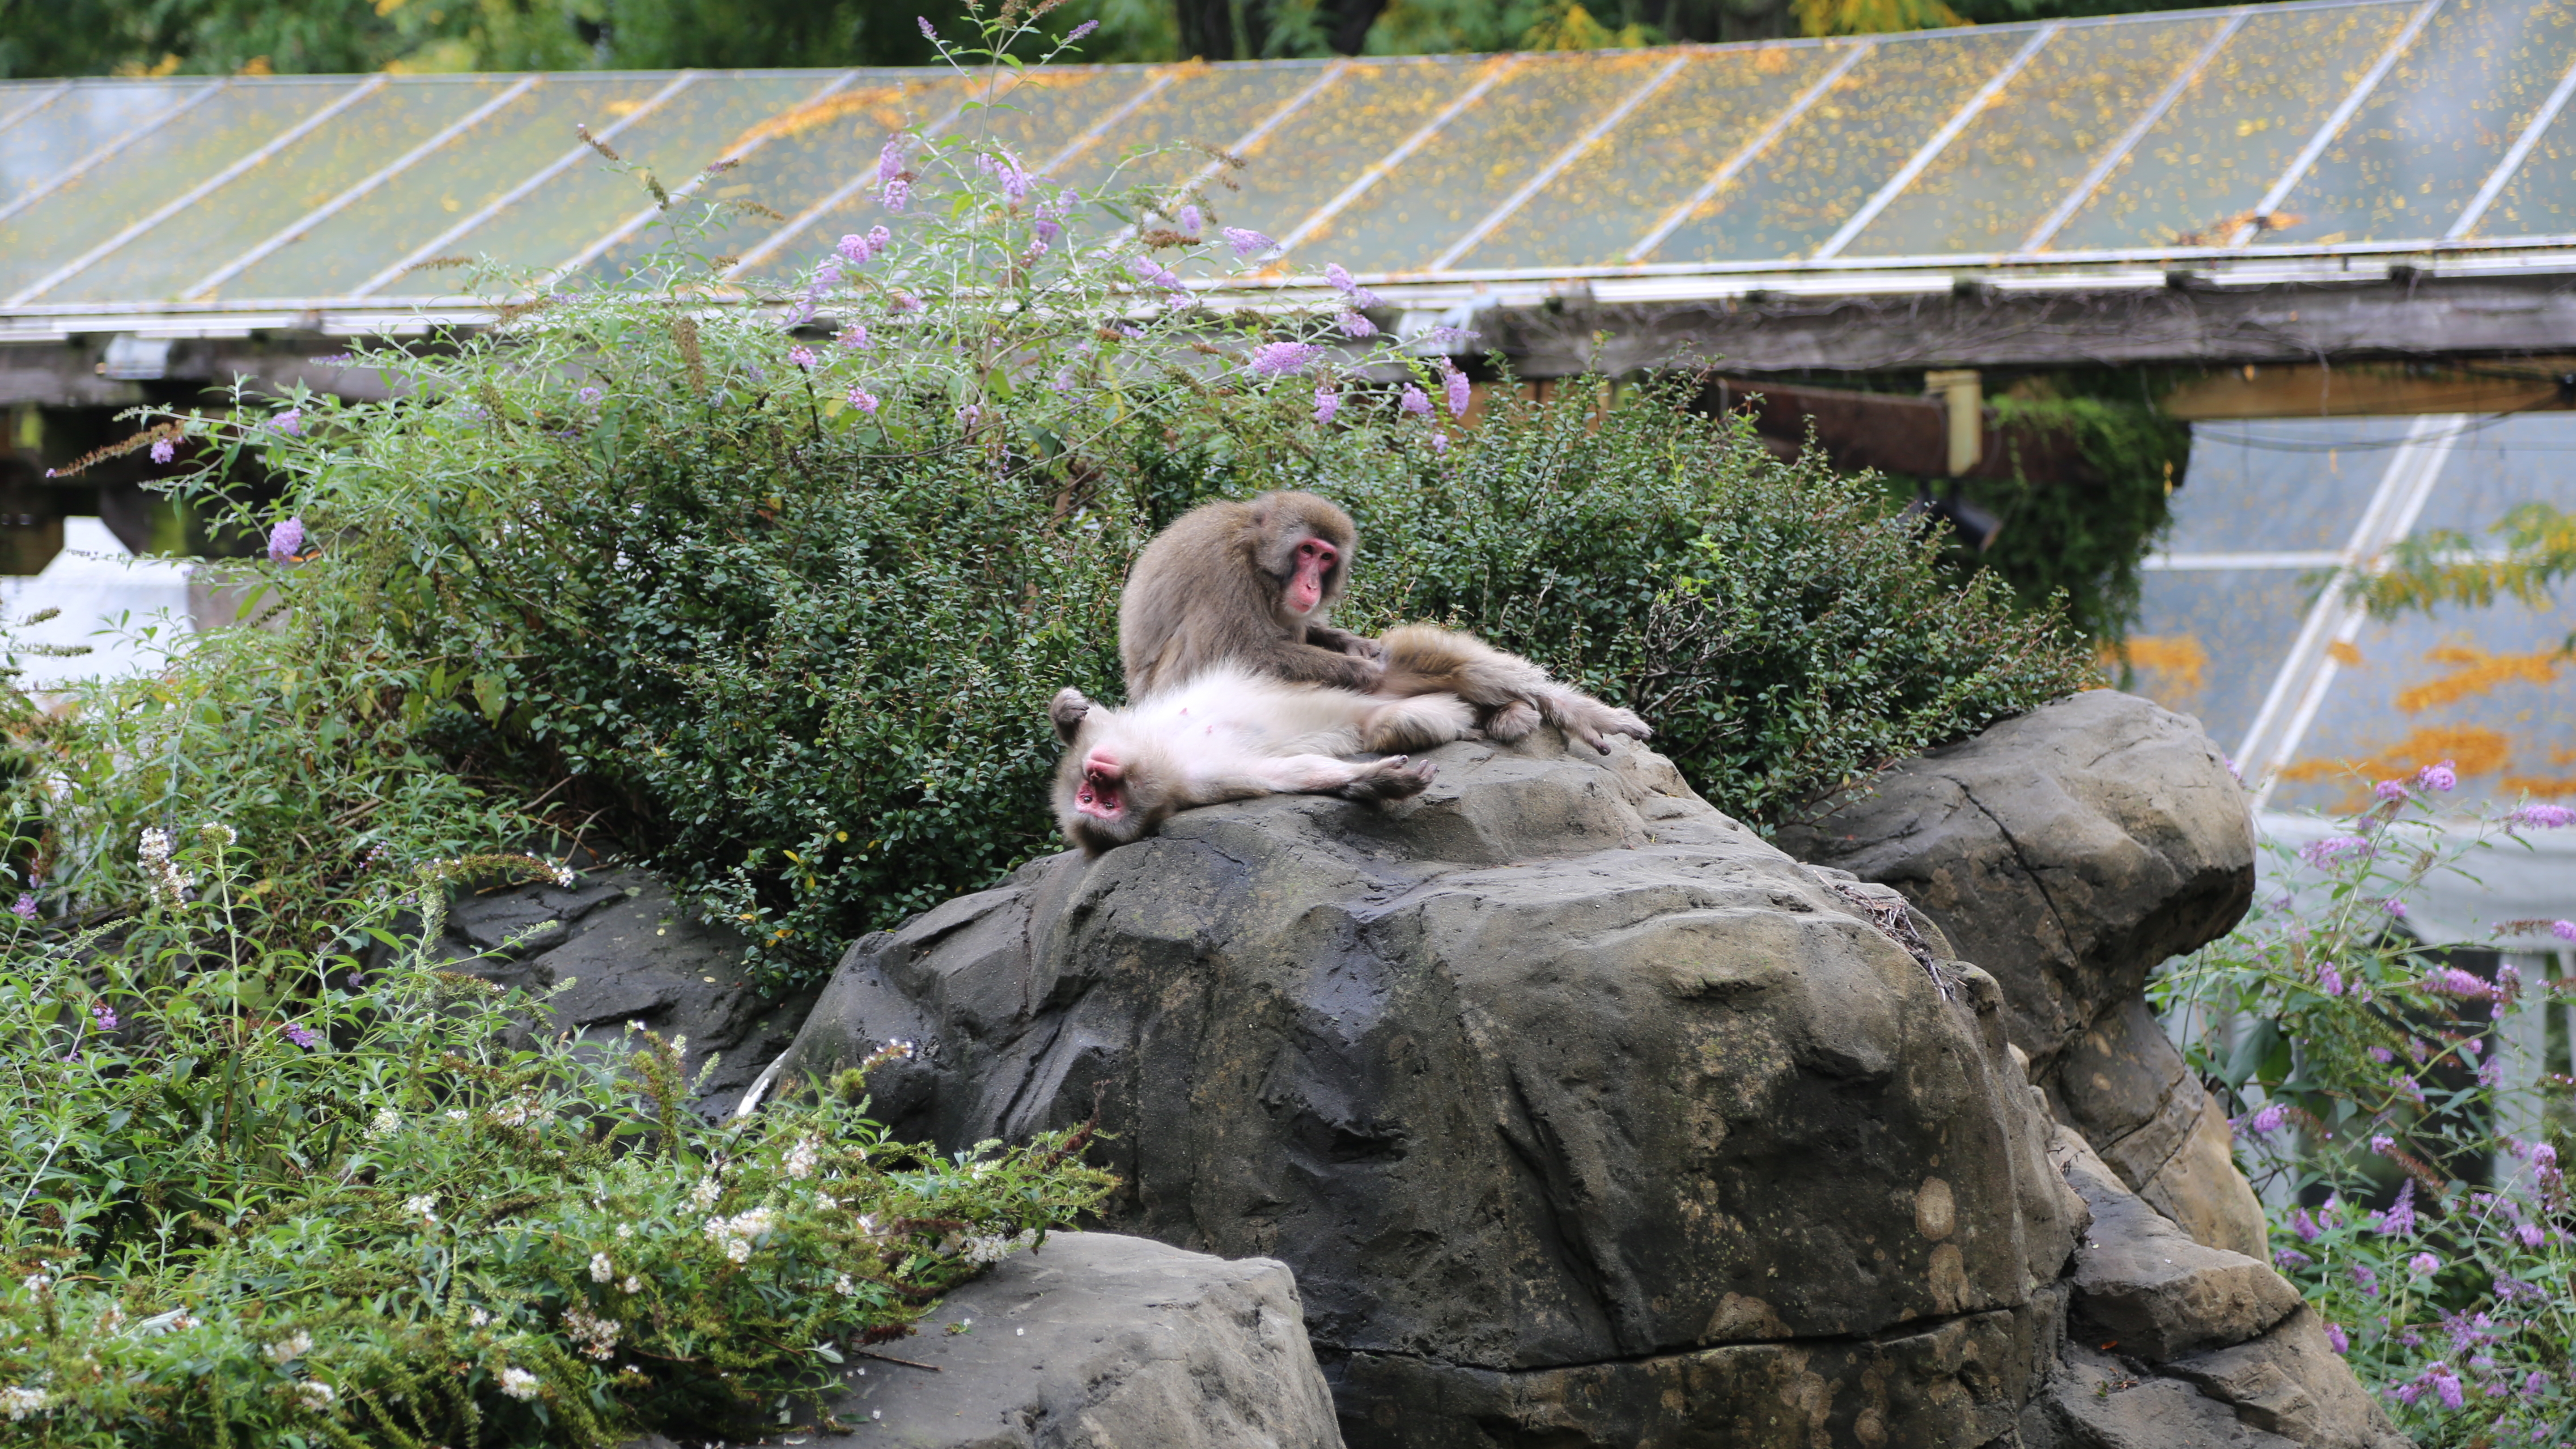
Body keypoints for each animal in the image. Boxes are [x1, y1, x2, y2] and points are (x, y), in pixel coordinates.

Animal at [1050, 624, 1650, 855]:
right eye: (1094, 801)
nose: (1096, 772)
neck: (1165, 756)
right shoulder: (1210, 782)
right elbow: (1300, 774)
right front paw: (1379, 780)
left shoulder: (1123, 732)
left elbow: (1095, 716)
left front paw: (1066, 710)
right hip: (1413, 704)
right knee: (1400, 722)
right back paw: (1503, 714)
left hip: (1387, 658)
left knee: (1470, 669)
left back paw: (1575, 712)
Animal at [1119, 490, 1386, 699]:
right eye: (1308, 550)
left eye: (1327, 557)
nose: (1312, 586)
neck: (1254, 549)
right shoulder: (1223, 566)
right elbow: (1240, 656)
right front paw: (1362, 670)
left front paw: (1358, 645)